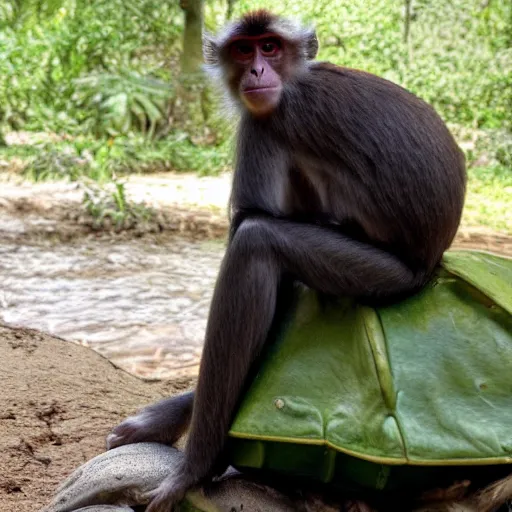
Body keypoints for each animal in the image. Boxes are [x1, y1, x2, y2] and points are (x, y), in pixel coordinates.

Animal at [106, 9, 466, 512]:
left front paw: (197, 463)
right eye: (245, 49)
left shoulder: (268, 121)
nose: (258, 71)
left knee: (256, 243)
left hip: (382, 274)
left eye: (271, 47)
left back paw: (197, 465)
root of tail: (432, 259)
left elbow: (248, 226)